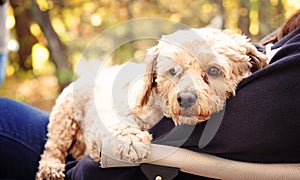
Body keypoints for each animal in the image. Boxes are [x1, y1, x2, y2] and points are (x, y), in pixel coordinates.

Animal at [37, 27, 268, 179]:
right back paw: (50, 168)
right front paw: (130, 141)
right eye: (173, 71)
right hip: (64, 116)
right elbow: (116, 125)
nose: (185, 98)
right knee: (53, 147)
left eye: (213, 71)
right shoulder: (106, 117)